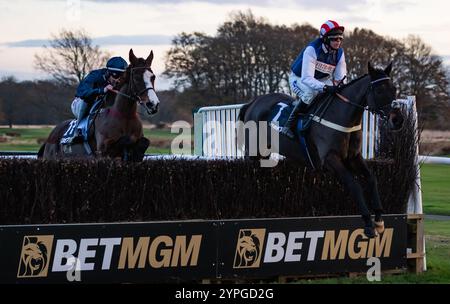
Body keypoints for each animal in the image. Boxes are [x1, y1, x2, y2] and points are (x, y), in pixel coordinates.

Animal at [239, 62, 404, 238]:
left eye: (394, 88)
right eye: (379, 90)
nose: (398, 120)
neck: (342, 117)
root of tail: (253, 102)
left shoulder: (354, 157)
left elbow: (372, 179)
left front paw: (379, 220)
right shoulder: (330, 159)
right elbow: (354, 184)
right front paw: (368, 224)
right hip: (253, 152)